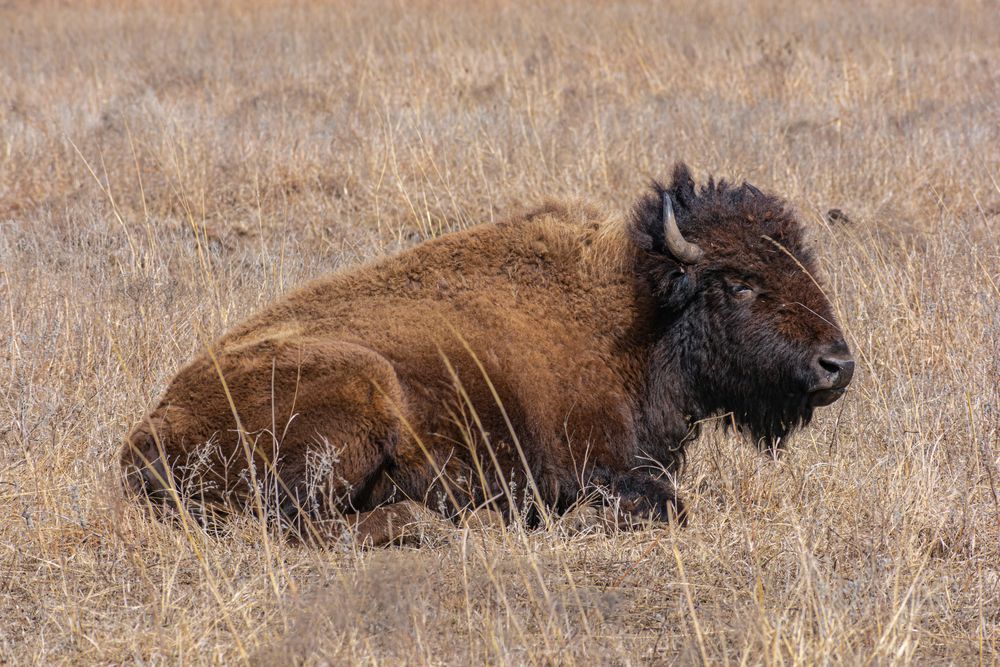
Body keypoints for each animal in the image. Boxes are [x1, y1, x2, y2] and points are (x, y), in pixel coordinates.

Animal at [121, 163, 854, 545]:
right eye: (740, 282)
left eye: (804, 260)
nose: (837, 366)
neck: (639, 310)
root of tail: (143, 436)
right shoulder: (592, 463)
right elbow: (661, 501)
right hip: (363, 384)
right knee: (308, 523)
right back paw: (444, 522)